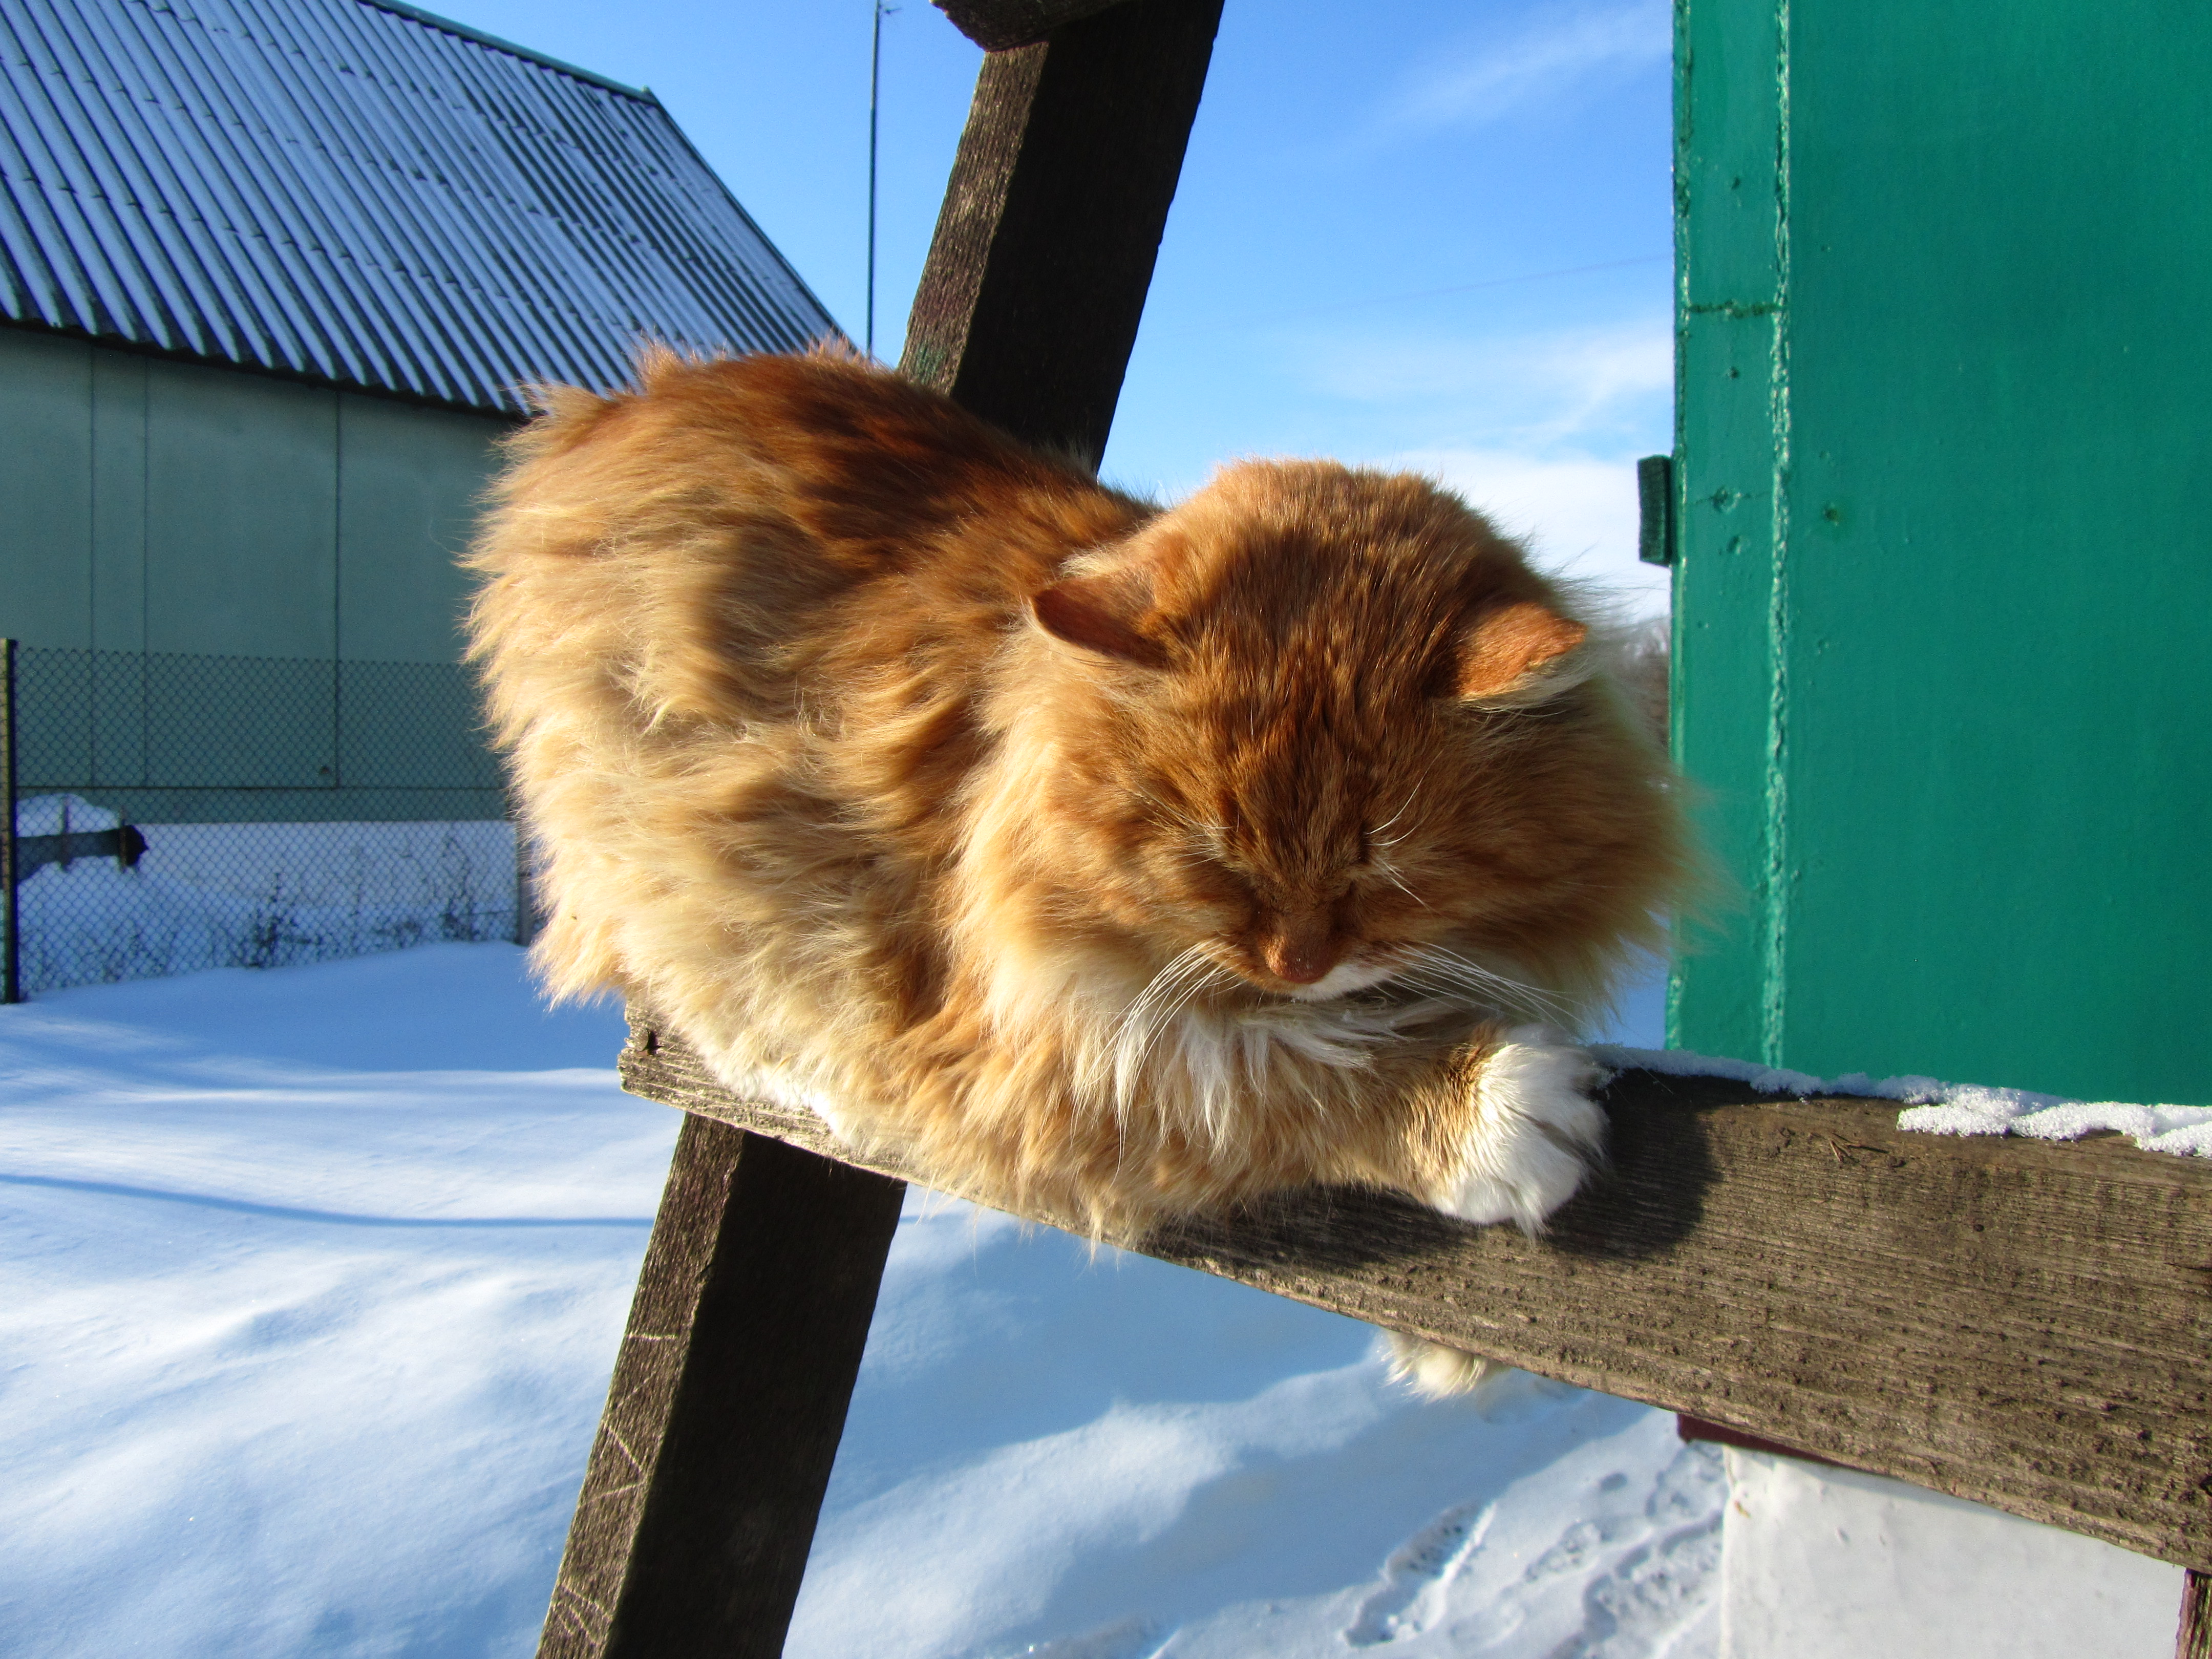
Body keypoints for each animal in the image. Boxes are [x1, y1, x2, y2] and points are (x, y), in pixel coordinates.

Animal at [462, 347, 1672, 1389]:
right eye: (1213, 857)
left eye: (1386, 866)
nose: (1296, 961)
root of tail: (611, 408)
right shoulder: (1023, 1045)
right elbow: (1274, 1076)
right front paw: (1494, 1110)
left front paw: (1453, 1351)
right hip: (665, 879)